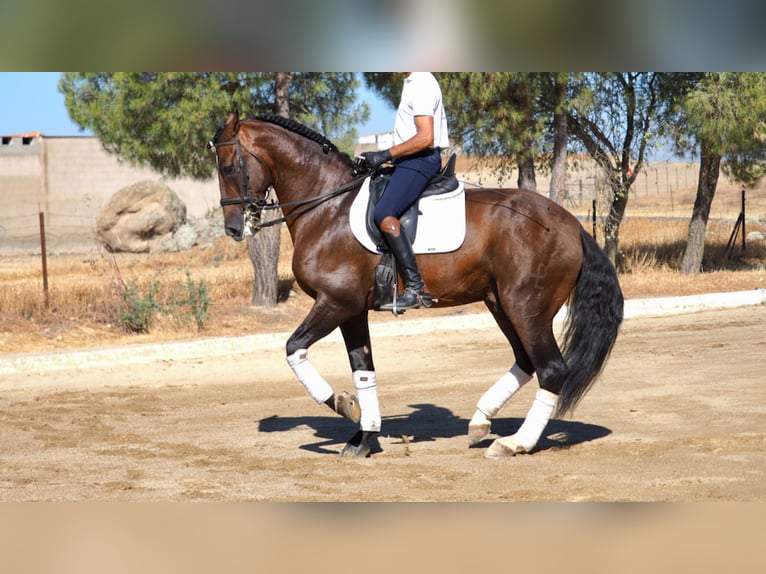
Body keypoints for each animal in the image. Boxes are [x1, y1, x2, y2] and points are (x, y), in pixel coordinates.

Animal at [208, 112, 624, 462]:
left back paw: (513, 443)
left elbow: (294, 349)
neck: (328, 207)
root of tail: (572, 224)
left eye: (228, 167)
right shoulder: (351, 310)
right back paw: (480, 421)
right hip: (501, 303)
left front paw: (343, 405)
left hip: (527, 308)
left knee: (550, 369)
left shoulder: (335, 303)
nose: (234, 228)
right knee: (526, 360)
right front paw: (364, 435)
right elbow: (364, 370)